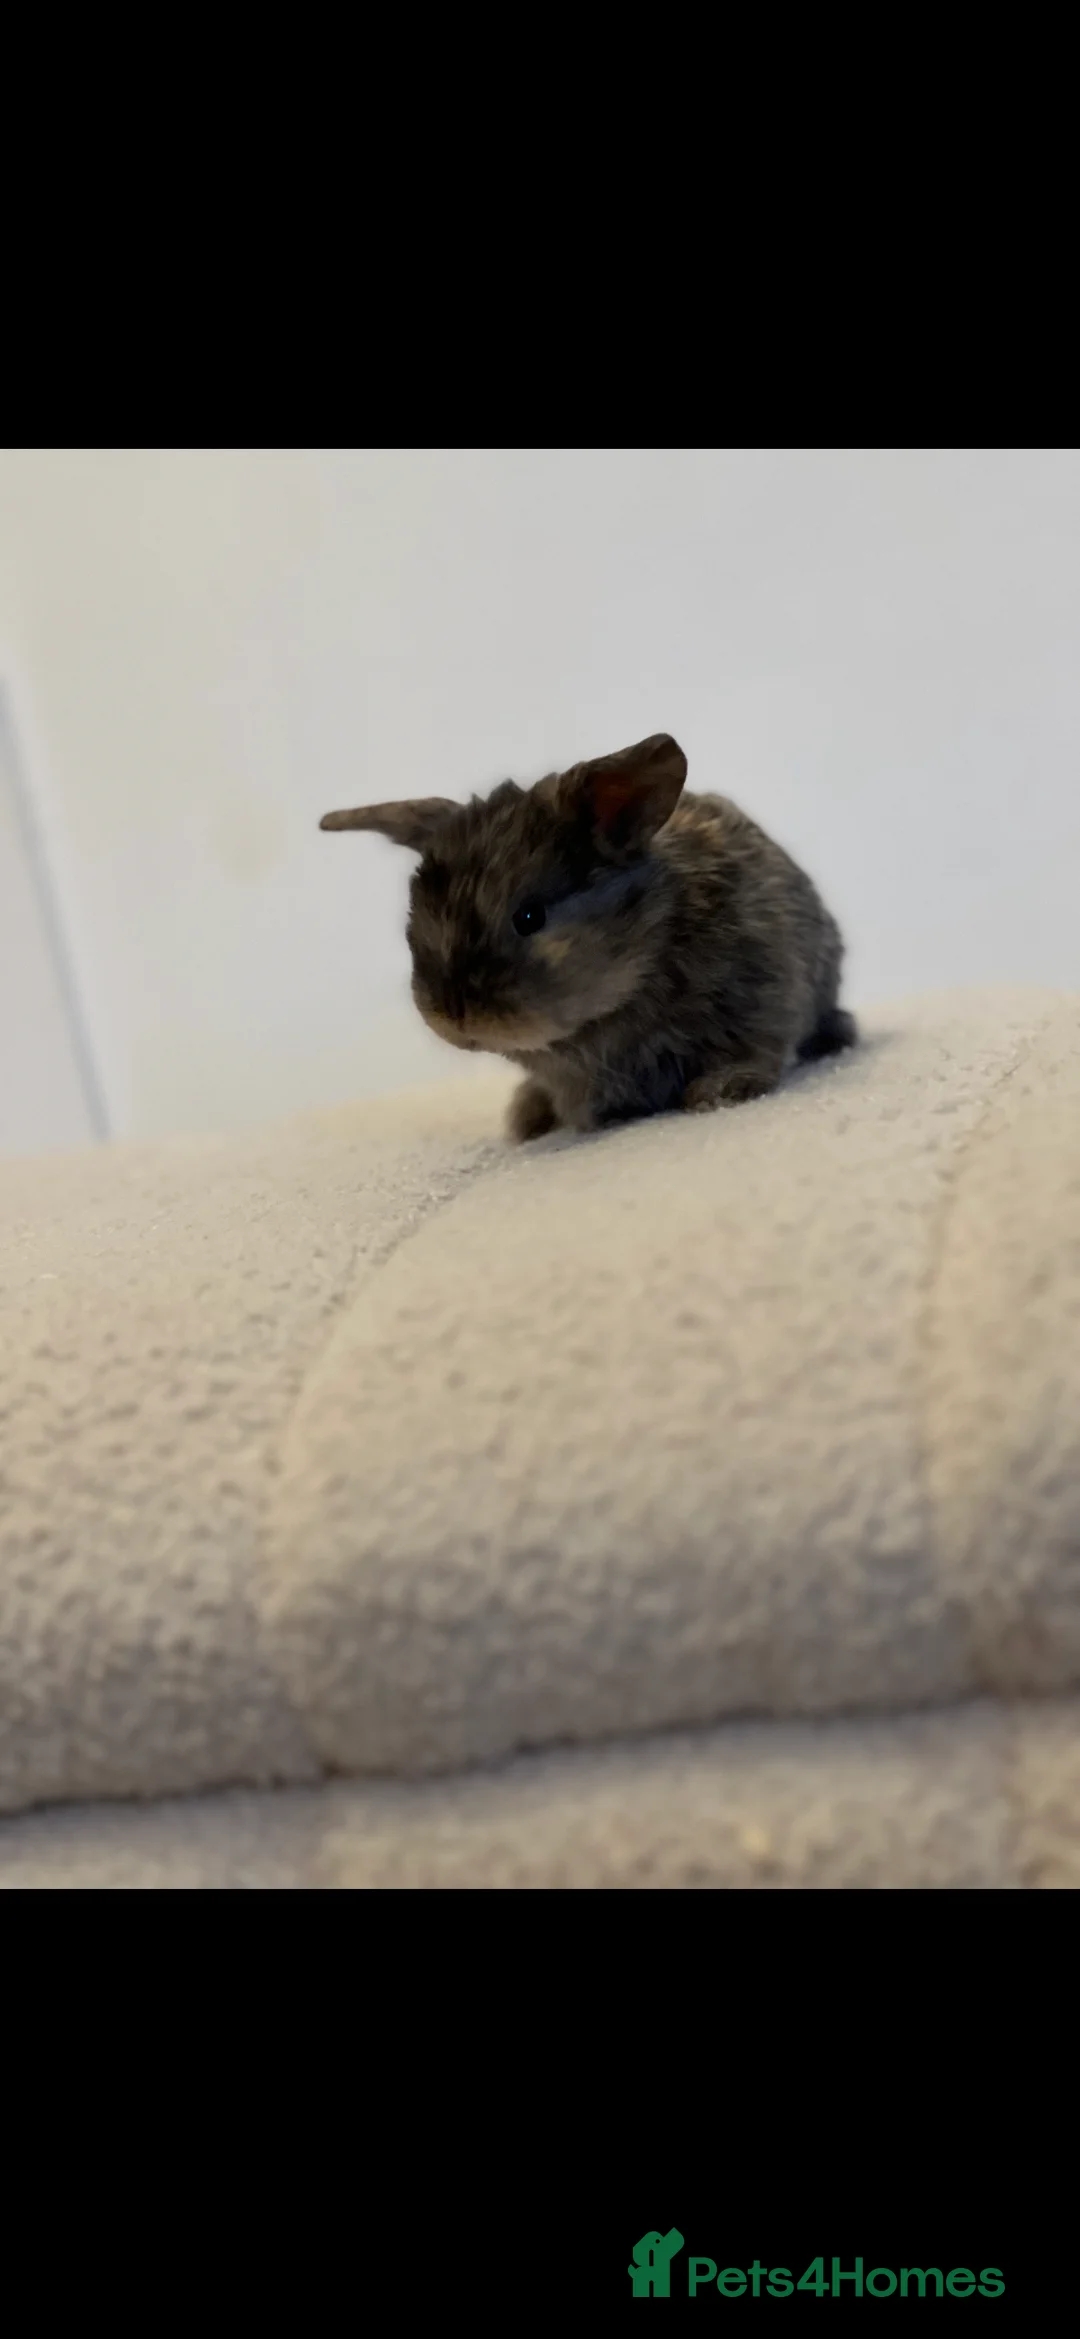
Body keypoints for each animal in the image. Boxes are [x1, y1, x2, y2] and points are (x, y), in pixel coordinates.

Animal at [320, 732, 856, 1142]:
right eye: (414, 922)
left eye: (529, 917)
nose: (454, 1017)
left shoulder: (766, 995)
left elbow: (757, 1048)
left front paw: (721, 1090)